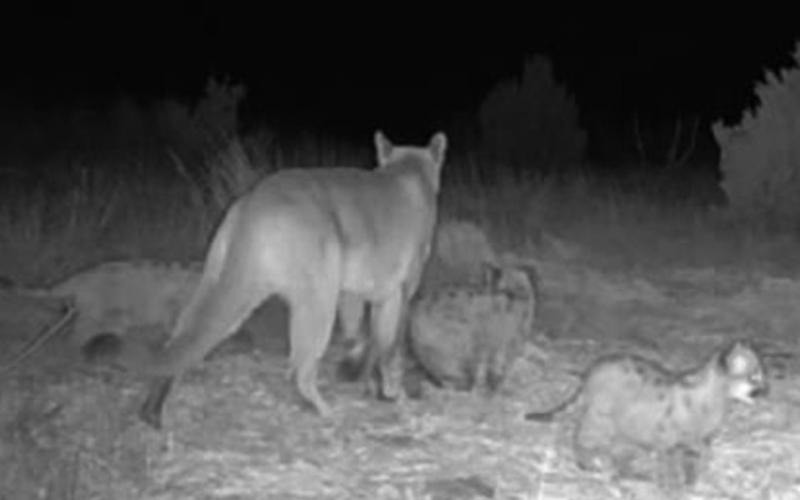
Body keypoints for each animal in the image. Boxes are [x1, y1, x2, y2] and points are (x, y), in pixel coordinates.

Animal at [82, 130, 448, 429]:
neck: (409, 172)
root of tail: (253, 202)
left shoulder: (356, 293)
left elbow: (361, 338)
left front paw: (363, 378)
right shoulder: (399, 292)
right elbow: (388, 345)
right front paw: (391, 392)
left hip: (221, 288)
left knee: (179, 344)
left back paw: (153, 413)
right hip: (316, 299)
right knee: (299, 368)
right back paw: (326, 411)